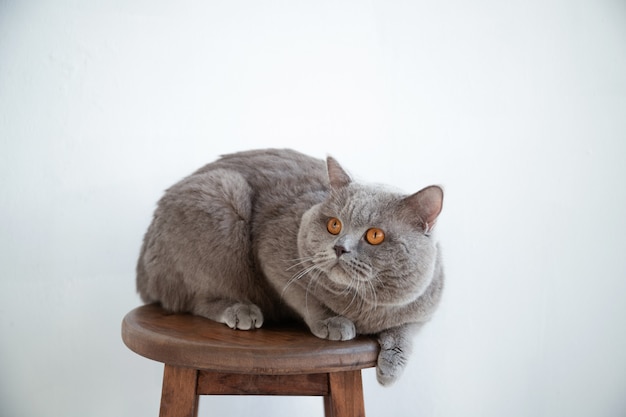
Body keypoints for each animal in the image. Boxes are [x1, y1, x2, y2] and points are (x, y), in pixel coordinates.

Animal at [135, 148, 444, 386]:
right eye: (334, 225)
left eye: (375, 235)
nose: (339, 247)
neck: (363, 305)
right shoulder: (274, 259)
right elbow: (306, 299)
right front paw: (332, 323)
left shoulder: (423, 308)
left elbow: (405, 330)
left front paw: (391, 367)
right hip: (219, 197)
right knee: (194, 300)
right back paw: (240, 310)